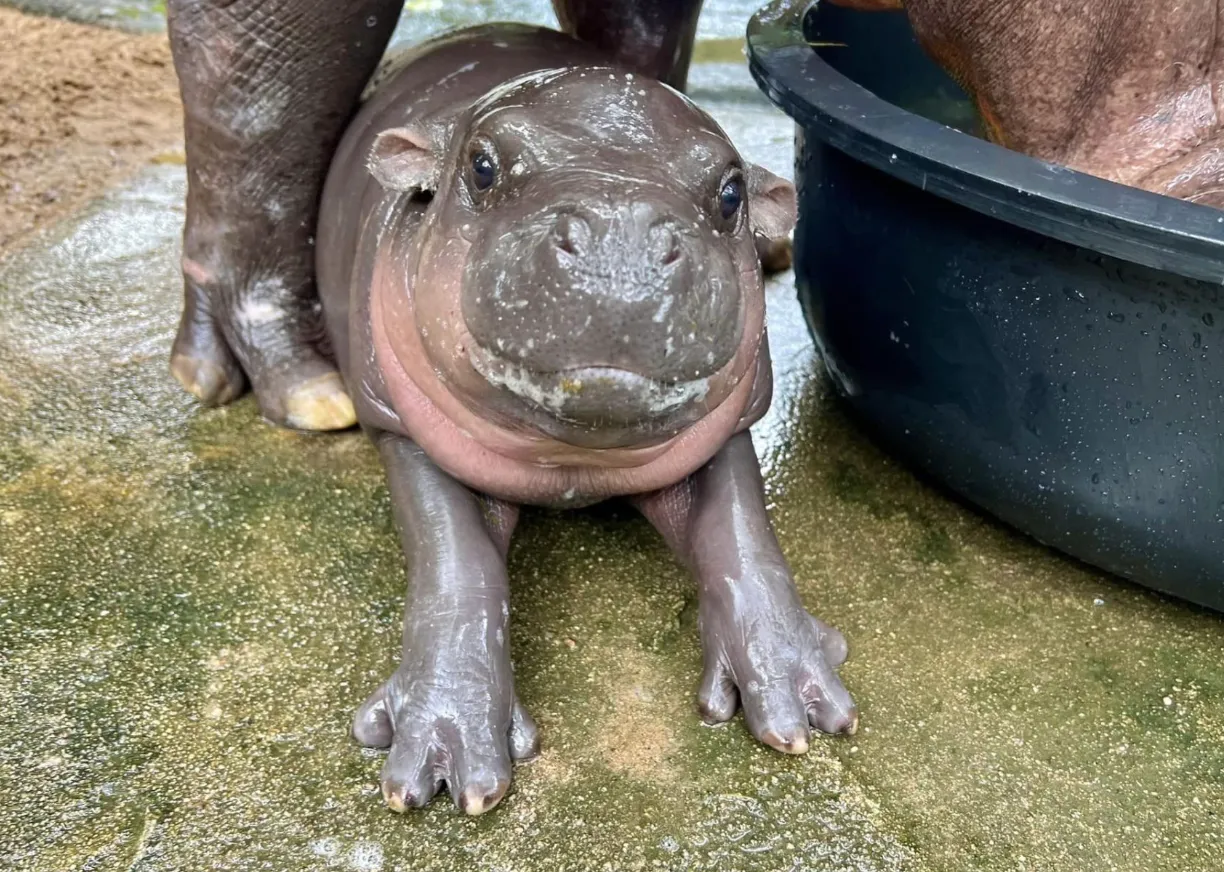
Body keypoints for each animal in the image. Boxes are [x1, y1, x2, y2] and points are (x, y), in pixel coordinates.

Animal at [310, 27, 856, 818]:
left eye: (731, 194)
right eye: (481, 166)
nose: (619, 239)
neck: (574, 460)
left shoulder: (726, 427)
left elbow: (742, 533)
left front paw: (800, 700)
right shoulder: (405, 431)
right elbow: (457, 564)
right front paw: (444, 759)